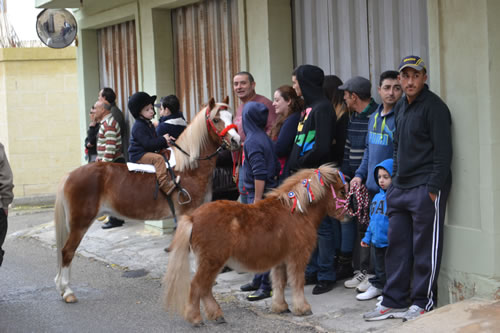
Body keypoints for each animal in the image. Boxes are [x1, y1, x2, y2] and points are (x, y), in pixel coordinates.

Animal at [54, 97, 240, 302]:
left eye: (231, 116)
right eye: (216, 119)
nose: (236, 140)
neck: (188, 168)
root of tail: (70, 175)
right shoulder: (187, 215)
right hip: (80, 223)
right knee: (67, 251)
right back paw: (67, 291)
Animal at [162, 163, 346, 324]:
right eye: (342, 191)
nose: (349, 214)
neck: (298, 211)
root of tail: (193, 217)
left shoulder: (280, 260)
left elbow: (279, 283)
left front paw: (280, 307)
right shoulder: (297, 257)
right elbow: (297, 282)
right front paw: (303, 308)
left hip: (210, 262)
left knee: (205, 288)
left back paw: (216, 315)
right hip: (212, 262)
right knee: (197, 286)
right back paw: (195, 318)